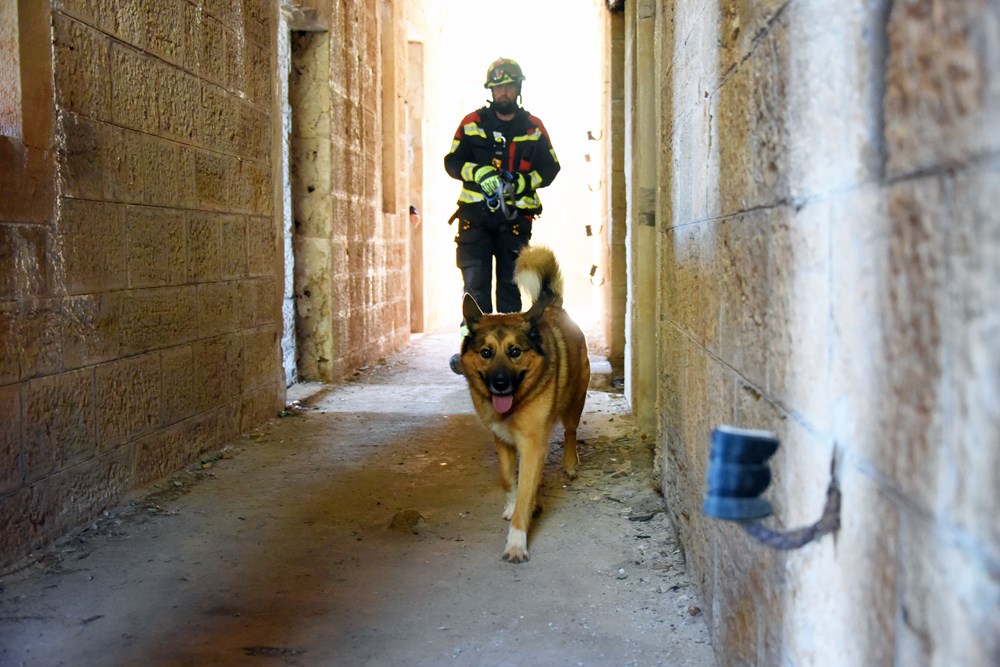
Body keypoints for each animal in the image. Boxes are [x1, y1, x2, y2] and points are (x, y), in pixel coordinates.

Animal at [457, 245, 590, 562]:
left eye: (515, 351)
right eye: (486, 352)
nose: (500, 384)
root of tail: (553, 306)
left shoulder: (531, 443)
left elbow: (525, 489)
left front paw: (517, 541)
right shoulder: (502, 439)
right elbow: (509, 479)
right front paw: (512, 503)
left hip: (574, 403)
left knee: (570, 432)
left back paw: (569, 464)